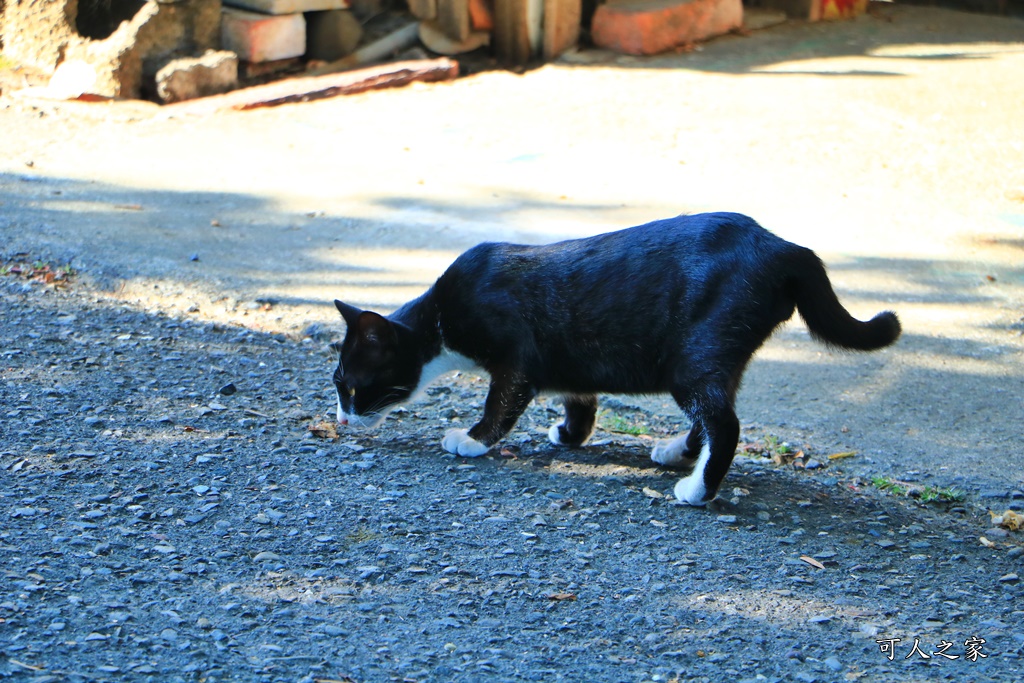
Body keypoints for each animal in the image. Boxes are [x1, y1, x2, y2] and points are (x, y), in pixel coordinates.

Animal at [331, 214, 901, 507]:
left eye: (350, 387)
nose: (340, 420)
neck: (440, 319)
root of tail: (785, 246)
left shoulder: (516, 353)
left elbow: (503, 400)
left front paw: (471, 439)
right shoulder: (567, 362)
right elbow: (581, 403)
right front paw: (569, 435)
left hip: (693, 354)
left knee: (725, 421)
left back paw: (696, 489)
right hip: (716, 354)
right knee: (714, 412)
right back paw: (677, 452)